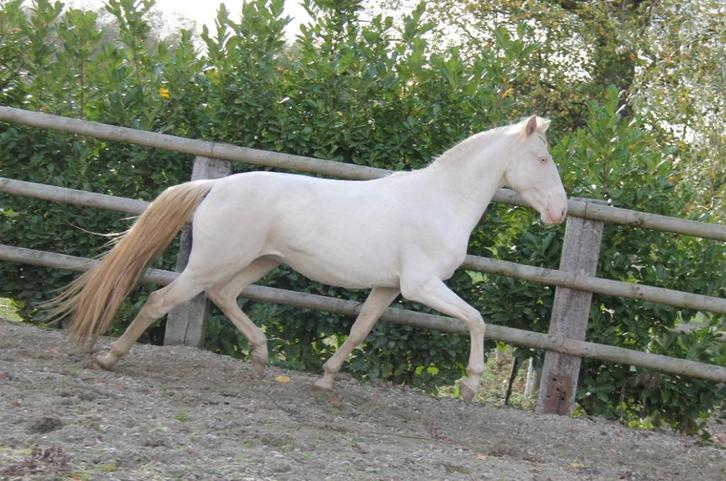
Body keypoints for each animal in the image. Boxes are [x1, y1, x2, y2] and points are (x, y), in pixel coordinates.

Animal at [50, 115, 567, 402]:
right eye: (542, 159)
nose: (559, 212)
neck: (440, 201)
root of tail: (214, 185)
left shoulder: (389, 287)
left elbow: (359, 331)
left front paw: (325, 381)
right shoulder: (421, 286)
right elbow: (477, 320)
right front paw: (470, 385)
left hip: (258, 261)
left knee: (224, 295)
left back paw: (261, 358)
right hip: (210, 262)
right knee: (163, 300)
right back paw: (109, 358)